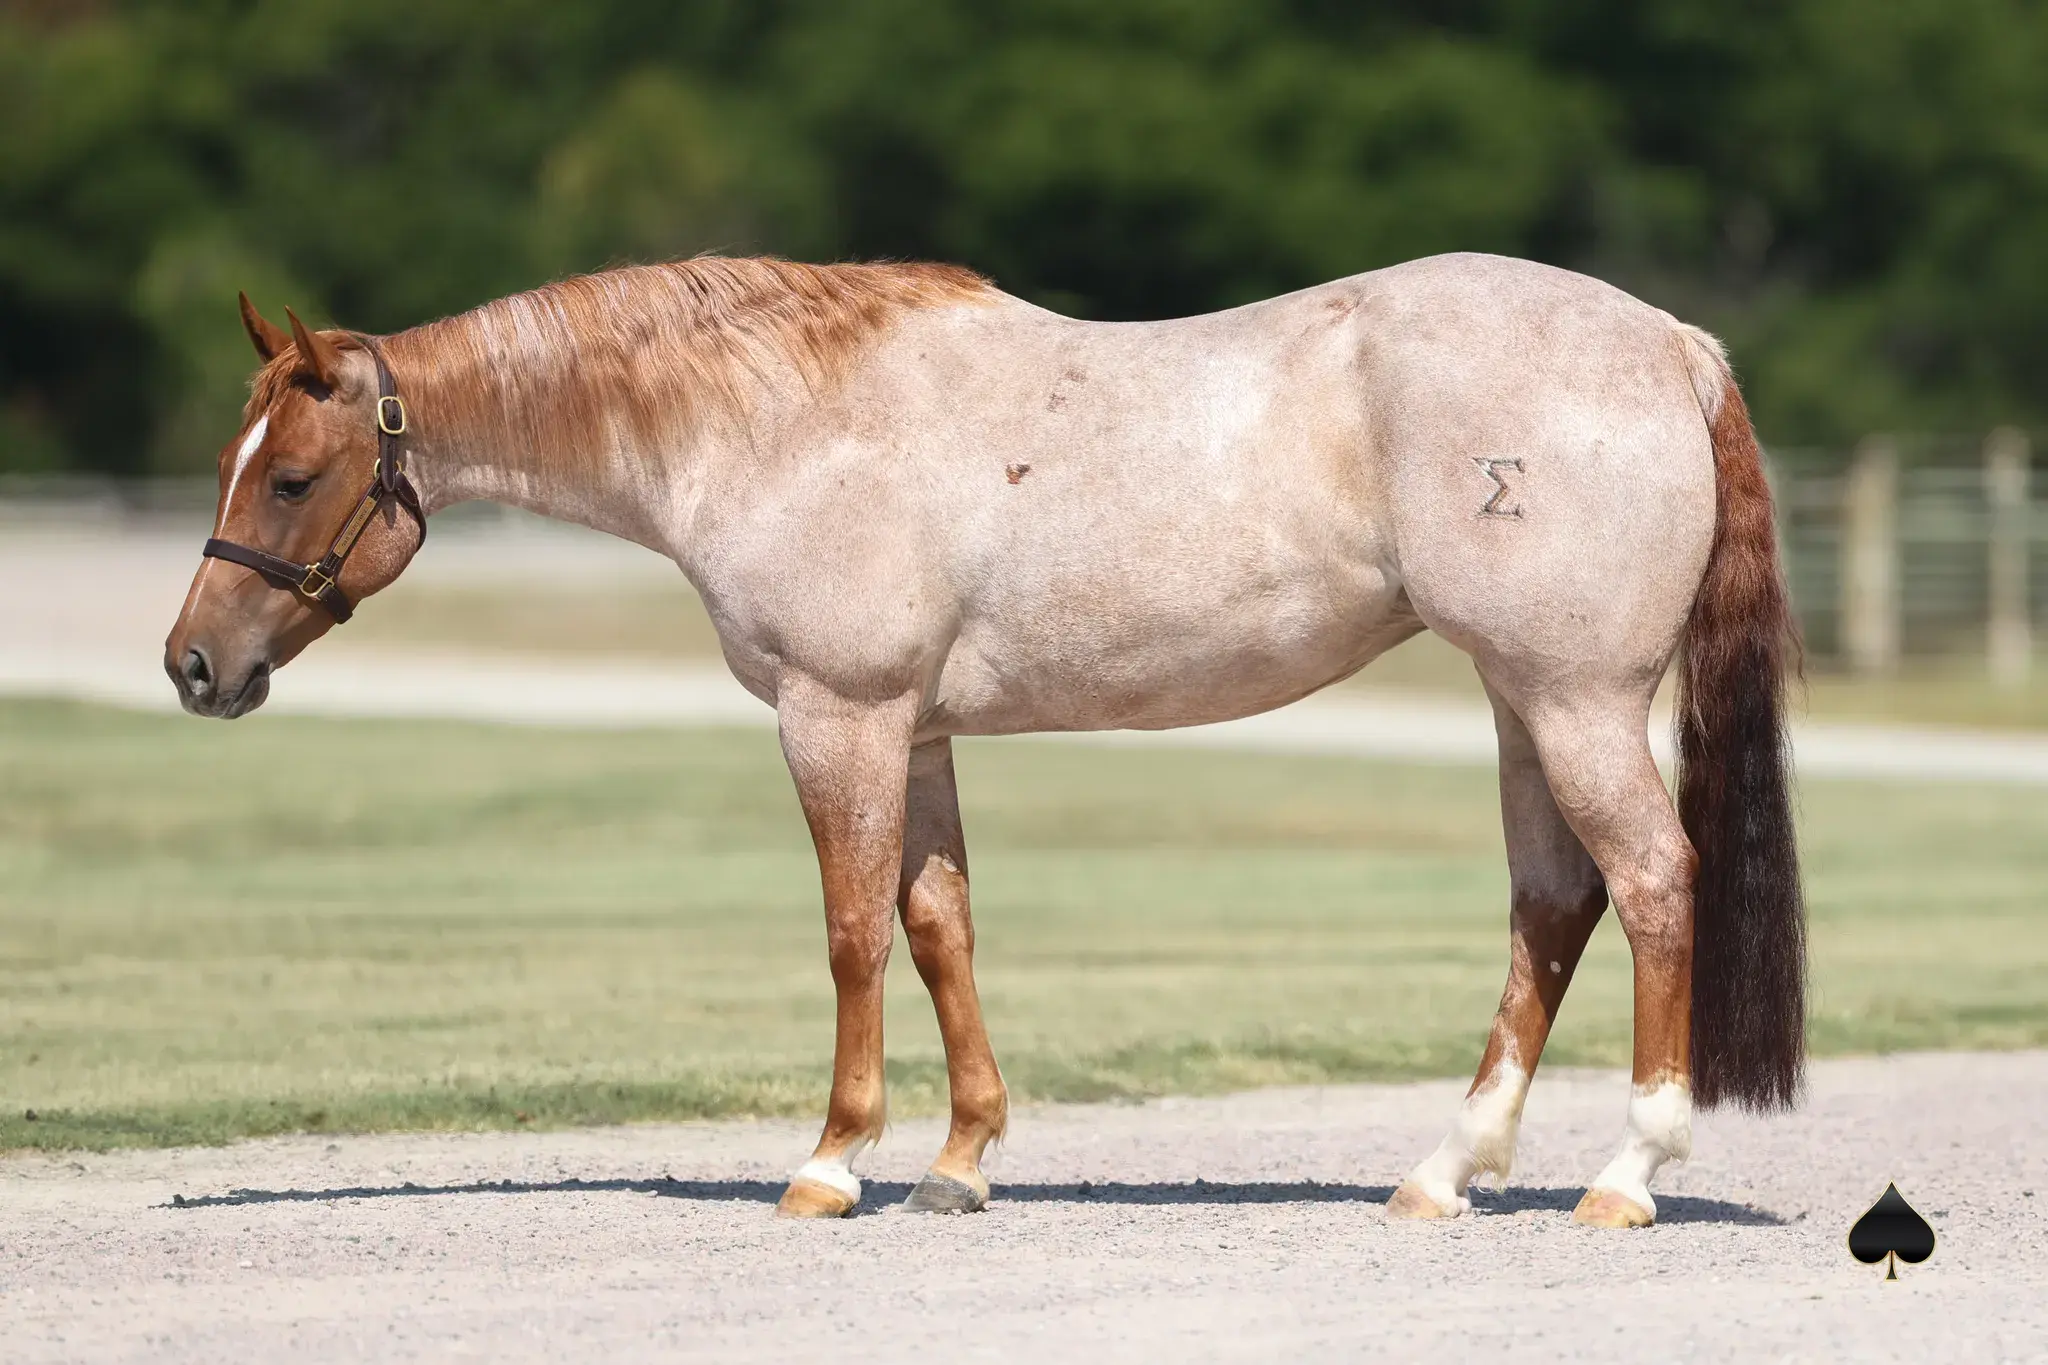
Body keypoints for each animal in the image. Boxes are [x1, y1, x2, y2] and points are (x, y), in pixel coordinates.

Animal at [164, 252, 1804, 1226]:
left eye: (293, 476)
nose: (192, 664)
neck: (779, 419)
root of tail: (1672, 345)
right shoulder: (918, 733)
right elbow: (939, 921)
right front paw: (958, 1163)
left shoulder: (837, 717)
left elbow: (850, 932)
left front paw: (832, 1162)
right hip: (1523, 703)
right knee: (1555, 907)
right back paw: (1442, 1175)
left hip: (1574, 700)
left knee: (1652, 885)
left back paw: (1627, 1176)